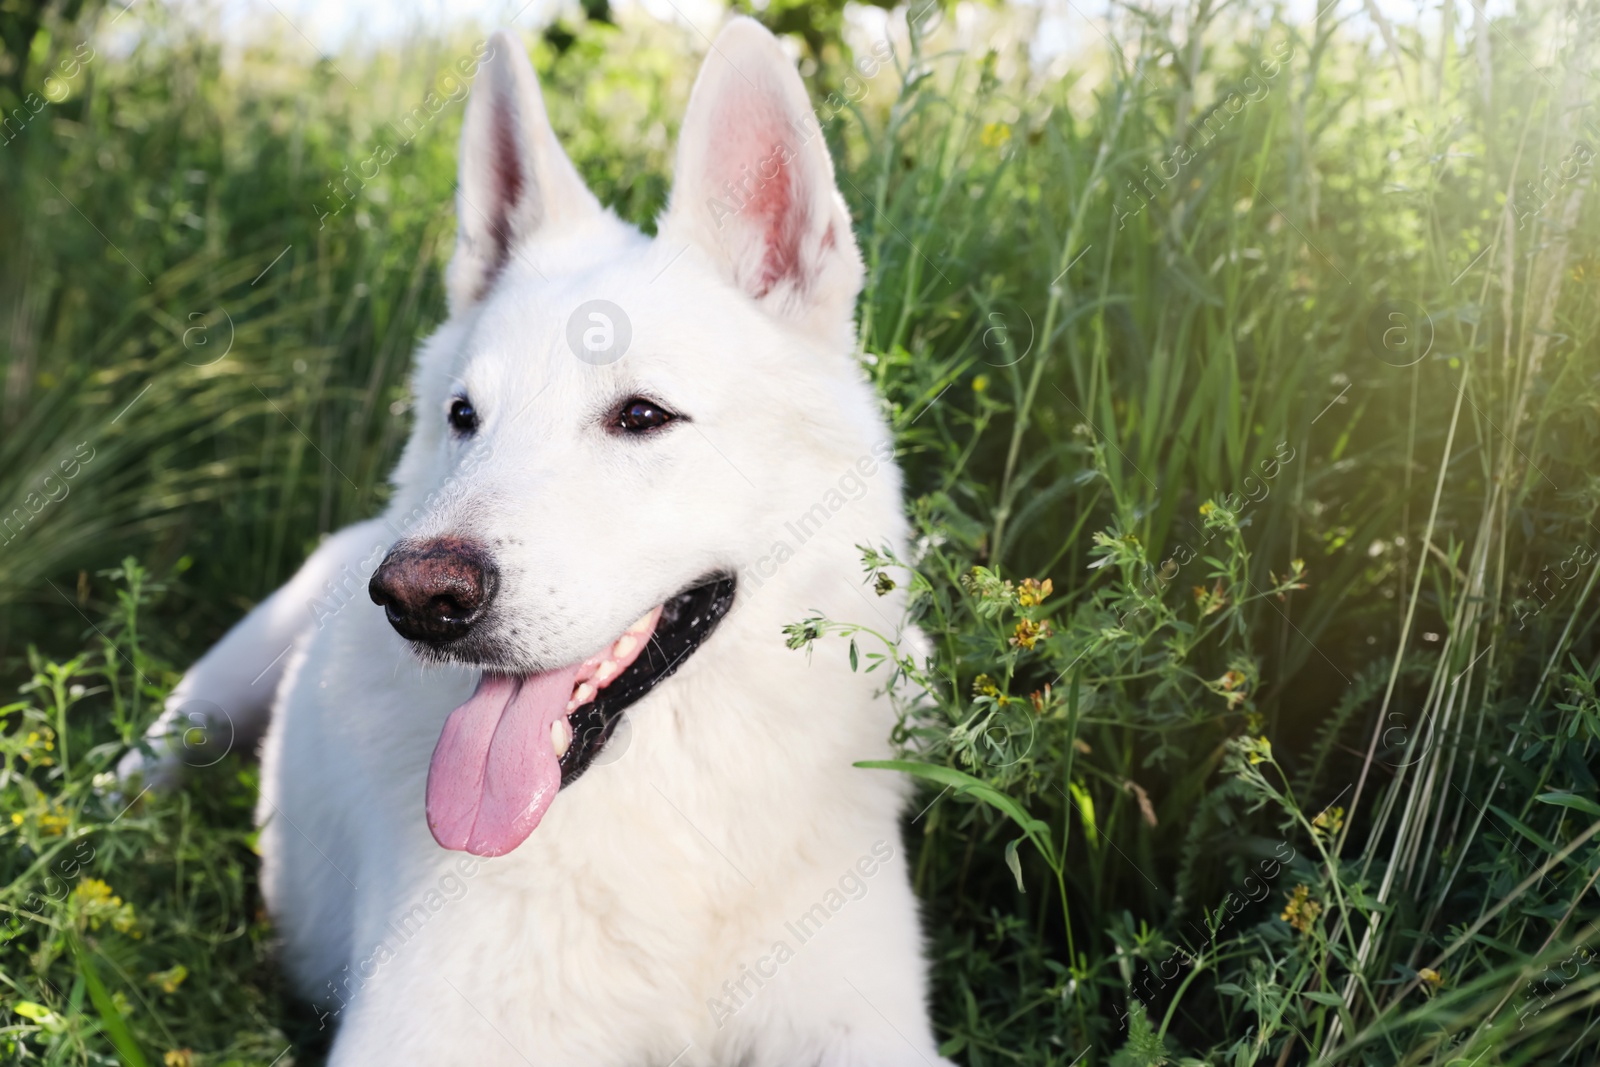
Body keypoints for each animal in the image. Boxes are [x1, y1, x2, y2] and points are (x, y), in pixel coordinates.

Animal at [128, 16, 947, 1067]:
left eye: (642, 414)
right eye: (463, 416)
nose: (417, 599)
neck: (670, 828)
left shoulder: (865, 1025)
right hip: (201, 705)